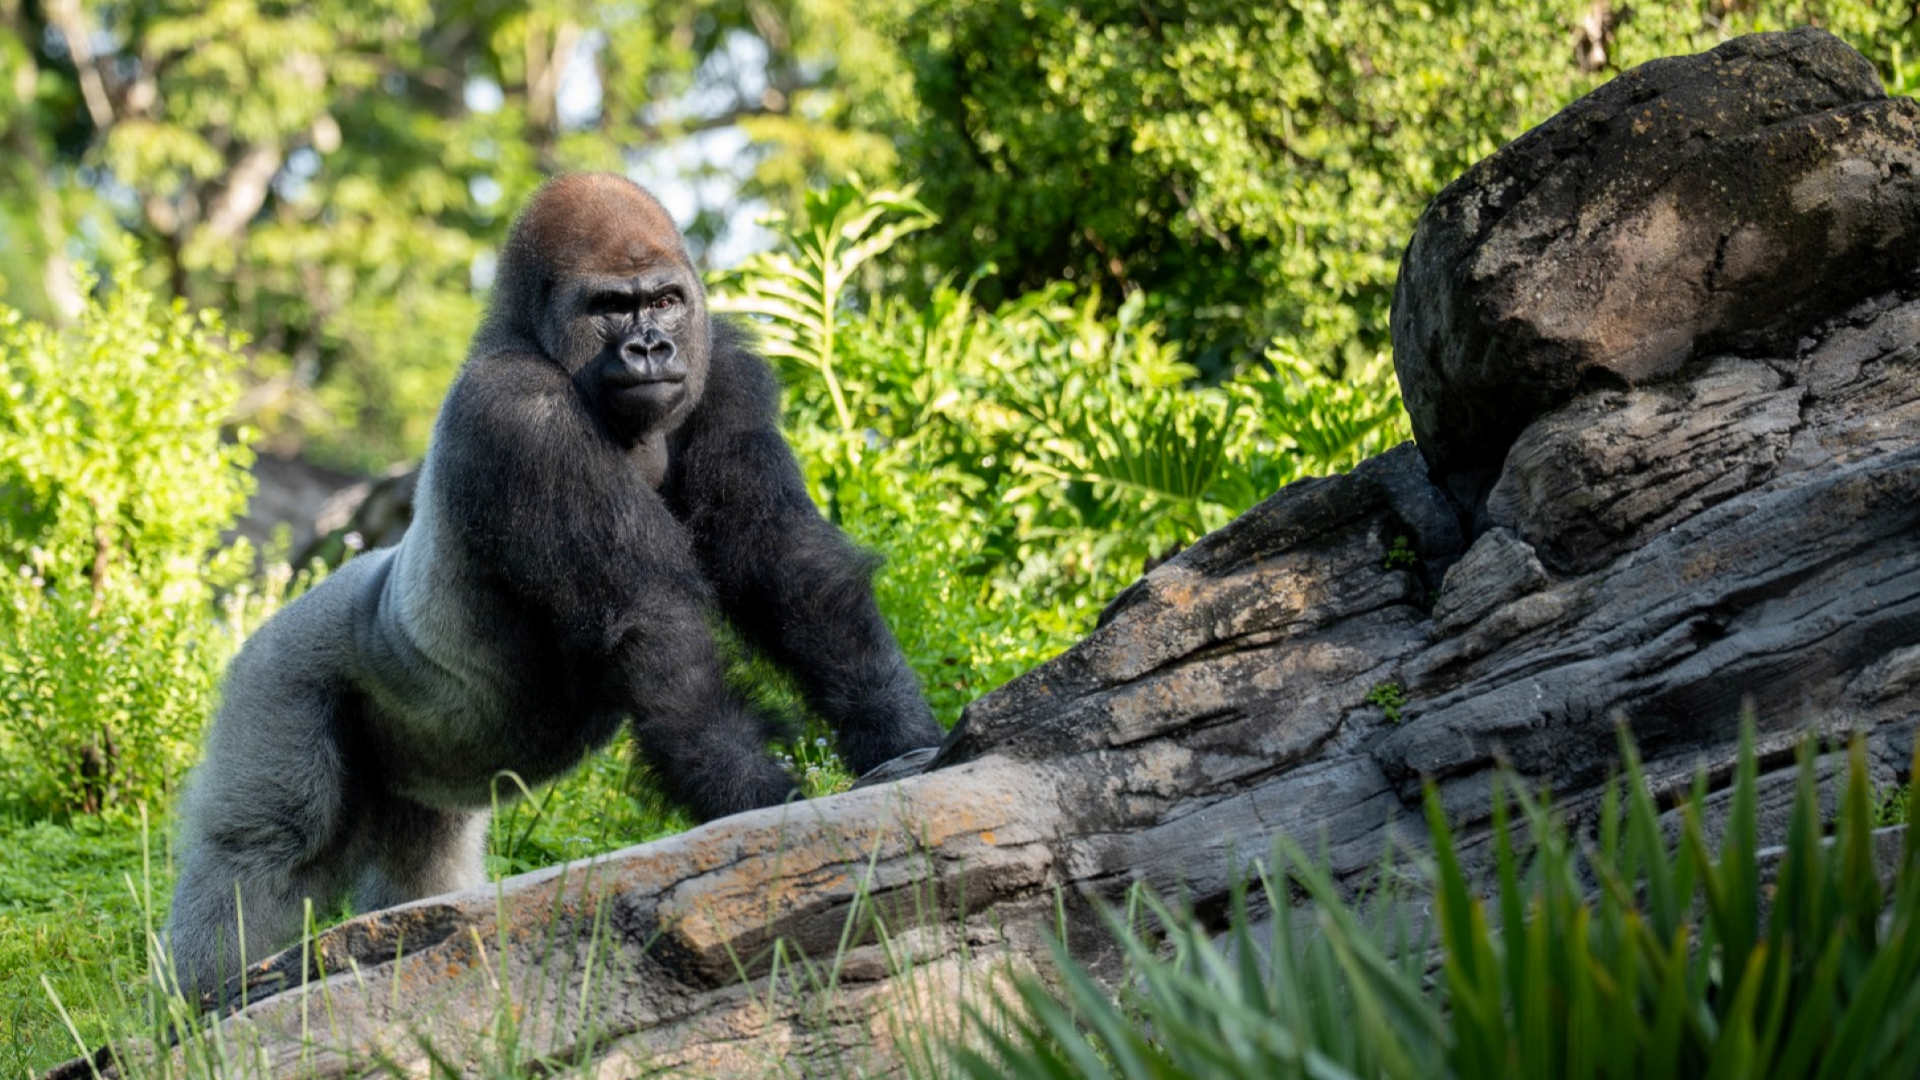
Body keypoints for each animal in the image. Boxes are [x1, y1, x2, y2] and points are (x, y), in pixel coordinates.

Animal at [163, 173, 945, 998]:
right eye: (609, 307)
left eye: (665, 299)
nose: (650, 347)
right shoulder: (519, 411)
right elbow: (655, 624)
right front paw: (758, 802)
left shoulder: (726, 371)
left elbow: (787, 563)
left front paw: (903, 737)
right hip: (275, 674)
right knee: (266, 846)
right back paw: (204, 997)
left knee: (421, 872)